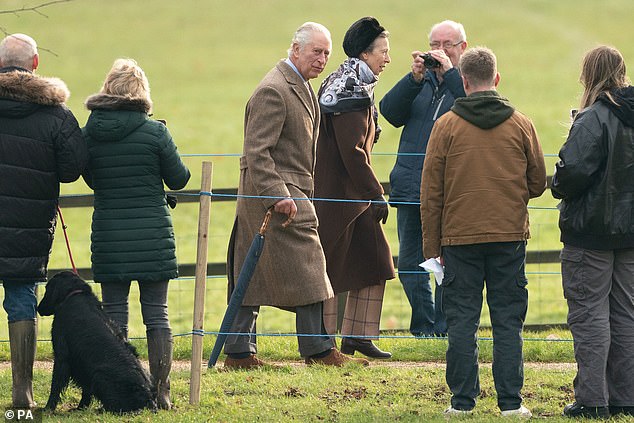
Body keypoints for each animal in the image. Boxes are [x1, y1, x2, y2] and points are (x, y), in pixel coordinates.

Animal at [37, 272, 157, 414]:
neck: (75, 294)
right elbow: (86, 390)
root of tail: (149, 400)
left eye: (47, 288)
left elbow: (55, 386)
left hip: (98, 375)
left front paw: (48, 408)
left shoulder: (62, 356)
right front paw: (81, 407)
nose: (38, 308)